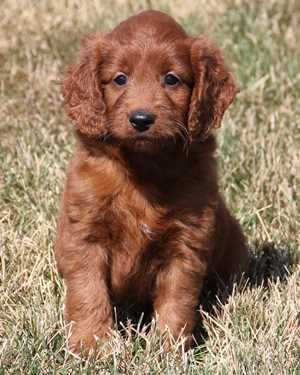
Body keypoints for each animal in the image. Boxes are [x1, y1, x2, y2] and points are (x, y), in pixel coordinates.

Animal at [55, 10, 248, 354]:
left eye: (171, 79)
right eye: (120, 79)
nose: (141, 119)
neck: (144, 165)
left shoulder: (186, 243)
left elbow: (177, 299)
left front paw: (168, 348)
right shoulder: (84, 237)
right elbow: (88, 293)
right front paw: (92, 344)